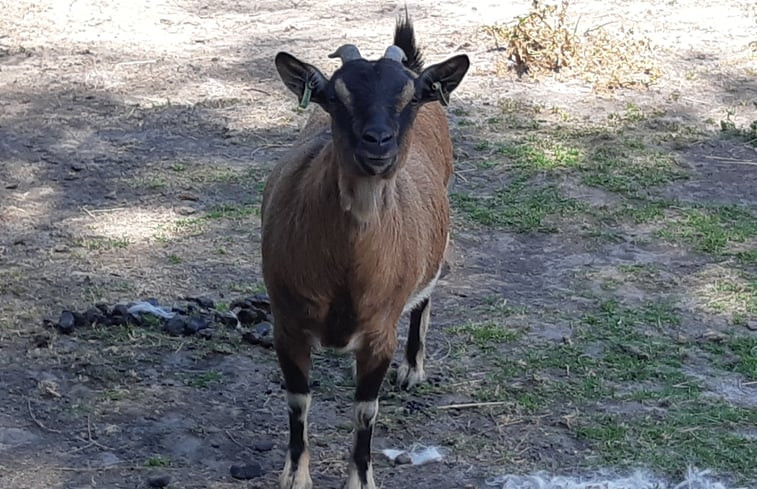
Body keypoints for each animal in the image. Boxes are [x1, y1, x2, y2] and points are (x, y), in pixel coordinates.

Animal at [262, 12, 470, 488]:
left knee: (427, 294)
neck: (346, 274)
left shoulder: (379, 334)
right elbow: (298, 402)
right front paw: (295, 475)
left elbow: (365, 412)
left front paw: (360, 479)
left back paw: (412, 369)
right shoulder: (287, 324)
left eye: (410, 98)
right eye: (333, 97)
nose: (378, 142)